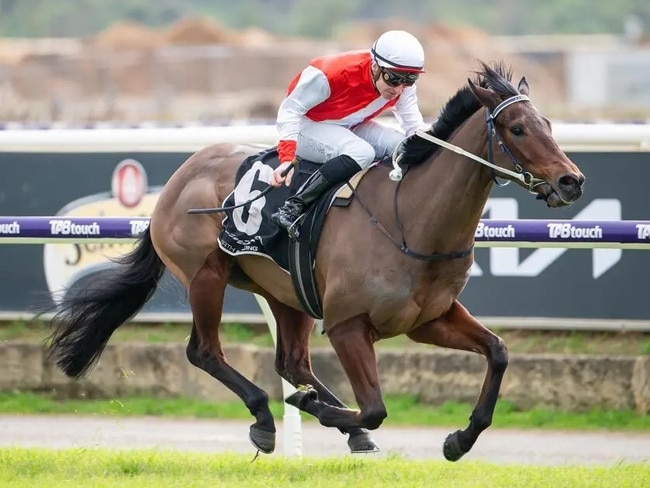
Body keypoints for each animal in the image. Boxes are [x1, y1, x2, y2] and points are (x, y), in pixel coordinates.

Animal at [45, 61, 584, 462]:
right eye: (518, 128)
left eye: (549, 125)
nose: (571, 181)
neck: (410, 218)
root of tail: (182, 174)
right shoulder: (348, 325)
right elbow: (375, 407)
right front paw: (326, 413)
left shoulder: (429, 319)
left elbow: (498, 352)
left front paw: (459, 439)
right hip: (206, 276)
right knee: (205, 352)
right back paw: (266, 418)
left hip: (287, 291)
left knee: (291, 361)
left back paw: (321, 413)